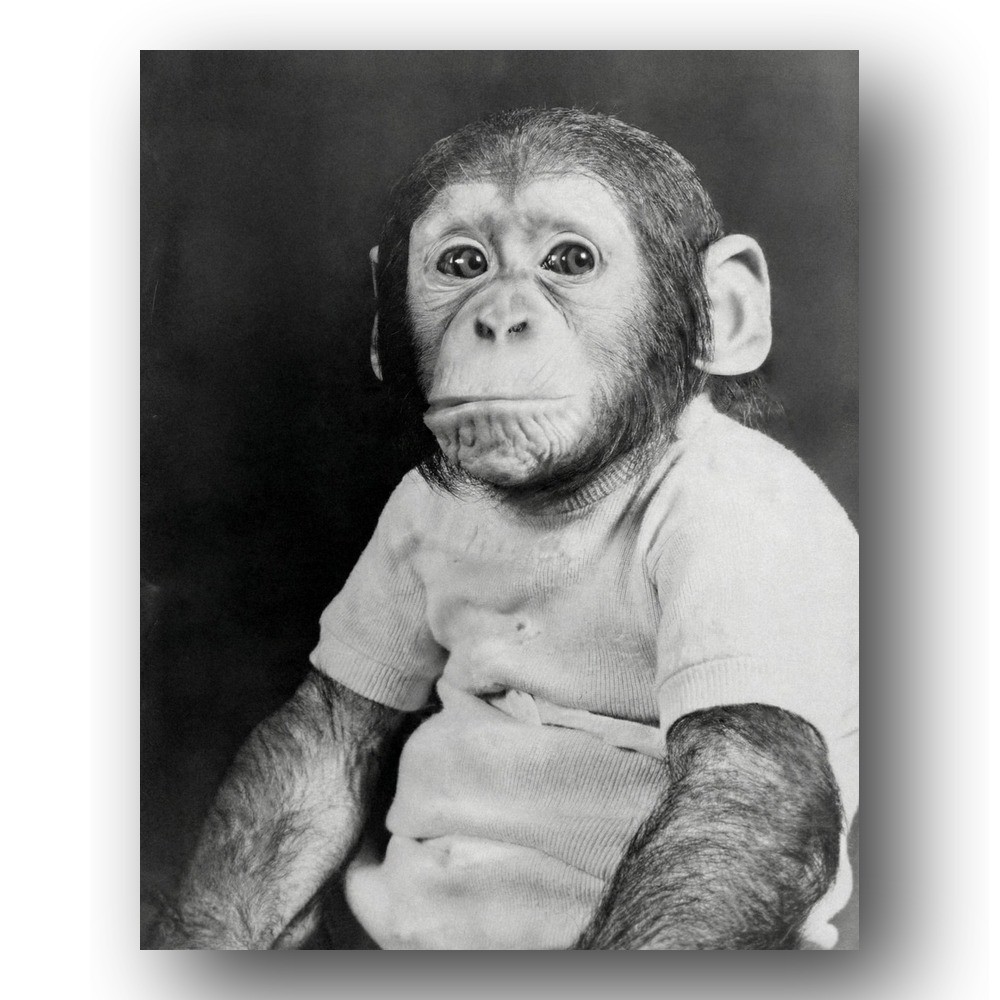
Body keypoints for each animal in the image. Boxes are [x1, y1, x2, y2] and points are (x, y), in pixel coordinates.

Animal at [148, 108, 858, 950]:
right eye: (463, 263)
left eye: (570, 260)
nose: (498, 319)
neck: (571, 497)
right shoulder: (402, 514)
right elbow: (331, 728)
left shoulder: (745, 513)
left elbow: (743, 795)